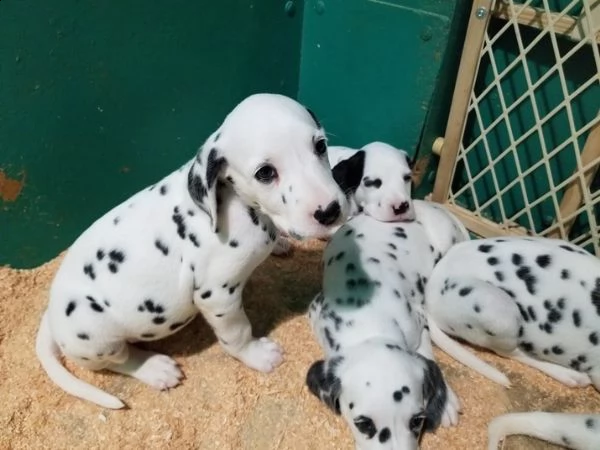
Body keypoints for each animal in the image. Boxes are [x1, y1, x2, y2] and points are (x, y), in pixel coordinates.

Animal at [35, 93, 350, 410]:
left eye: (320, 146)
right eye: (265, 173)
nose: (330, 211)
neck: (234, 204)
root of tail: (50, 313)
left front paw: (282, 243)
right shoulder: (218, 295)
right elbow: (237, 333)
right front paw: (257, 355)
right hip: (96, 333)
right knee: (118, 361)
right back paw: (154, 368)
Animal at [304, 201, 468, 450]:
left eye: (417, 420)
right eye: (364, 424)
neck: (369, 322)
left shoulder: (417, 323)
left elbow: (426, 352)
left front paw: (445, 400)